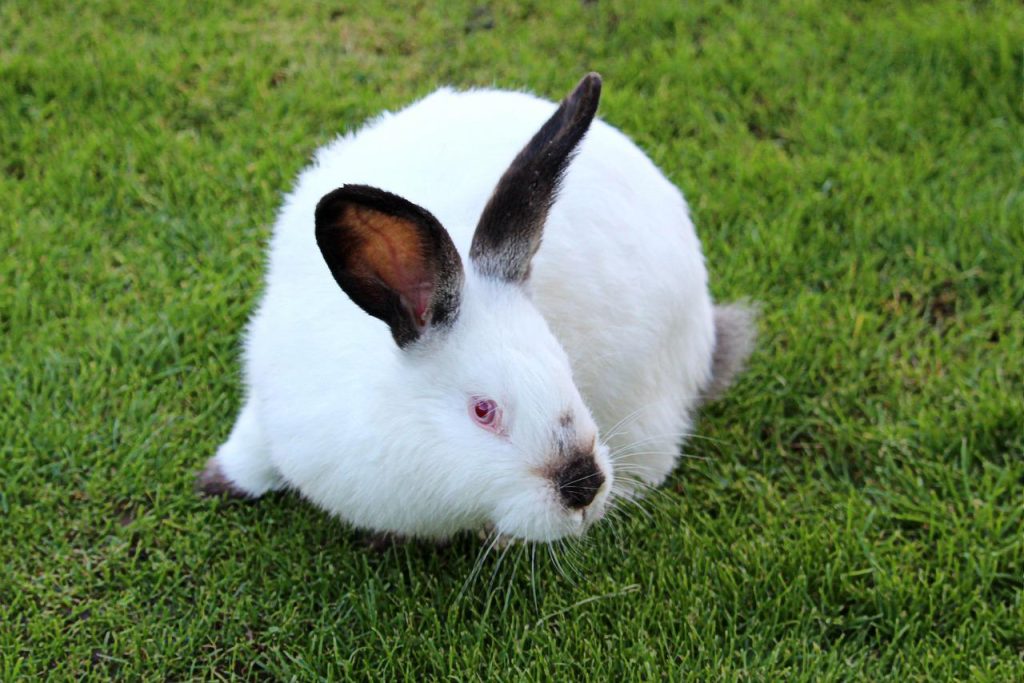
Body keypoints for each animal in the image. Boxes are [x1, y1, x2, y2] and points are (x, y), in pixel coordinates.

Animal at [197, 73, 755, 543]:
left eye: (567, 369)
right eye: (483, 411)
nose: (583, 488)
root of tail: (707, 330)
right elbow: (252, 449)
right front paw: (217, 482)